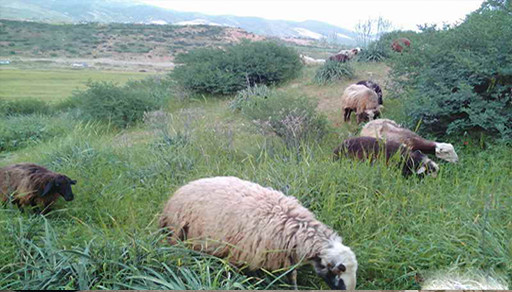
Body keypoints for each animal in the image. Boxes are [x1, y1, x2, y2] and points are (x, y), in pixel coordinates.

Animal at [159, 176, 356, 290]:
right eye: (340, 278)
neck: (293, 226)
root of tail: (179, 191)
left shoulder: (288, 256)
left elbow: (292, 277)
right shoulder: (241, 254)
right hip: (178, 234)